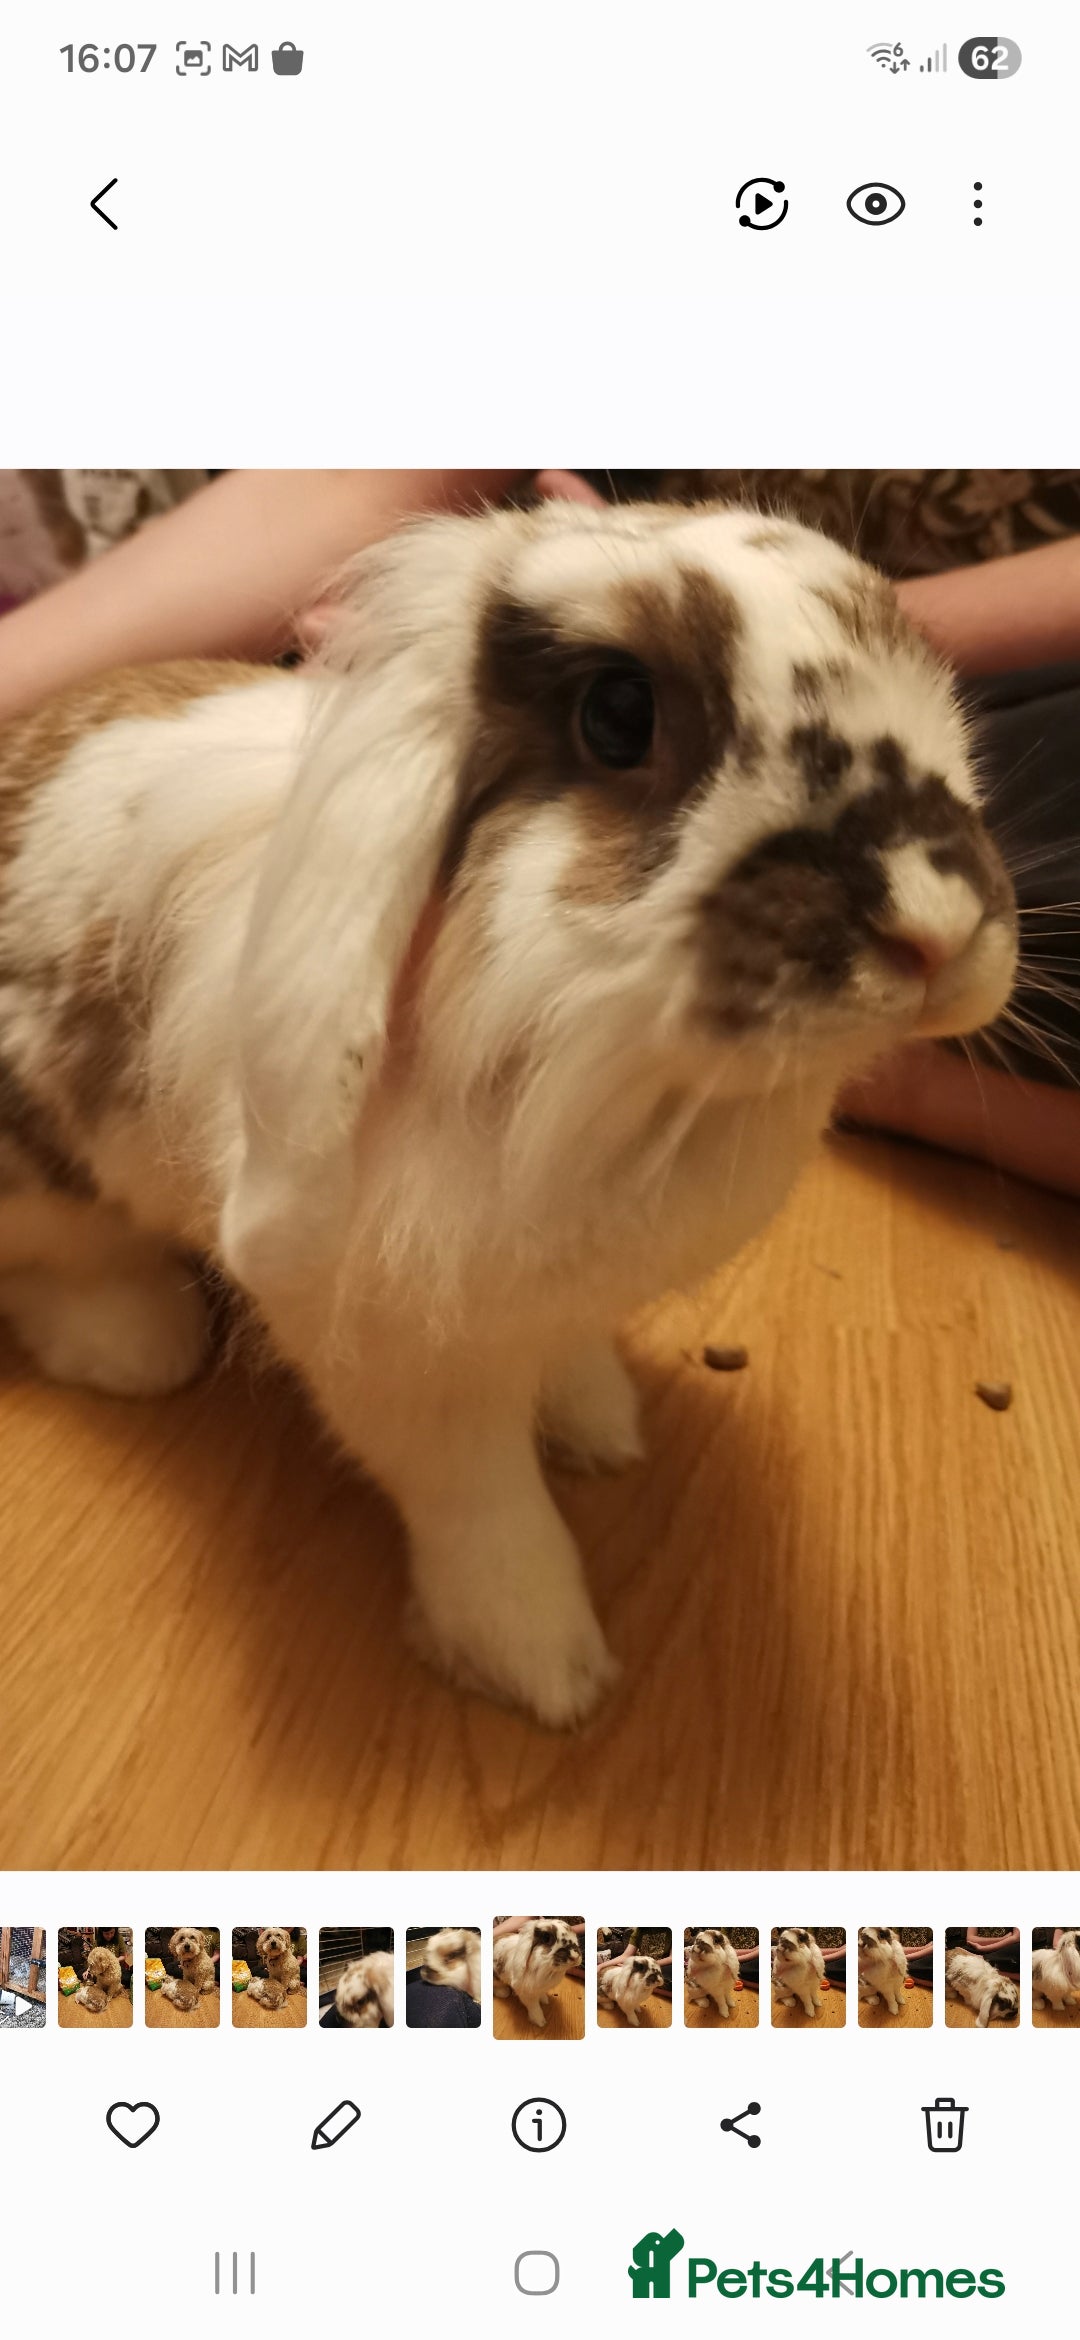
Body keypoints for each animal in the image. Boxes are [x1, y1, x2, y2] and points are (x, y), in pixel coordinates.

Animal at [0, 500, 1018, 1728]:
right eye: (618, 715)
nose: (937, 928)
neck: (609, 1080)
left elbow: (566, 1358)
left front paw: (599, 1426)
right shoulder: (401, 1359)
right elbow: (483, 1508)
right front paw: (544, 1669)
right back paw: (135, 1344)